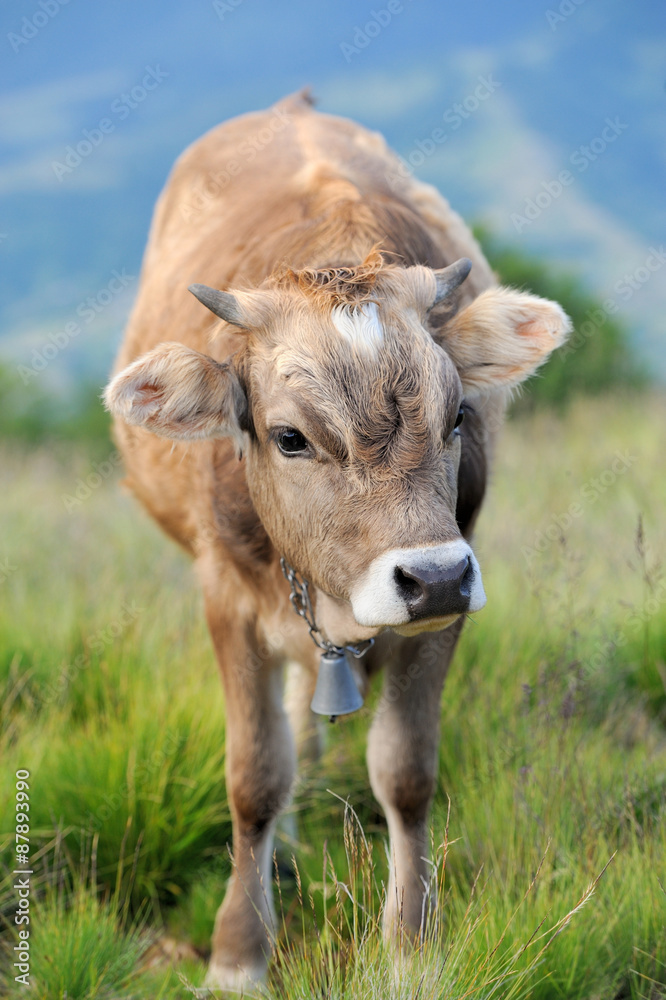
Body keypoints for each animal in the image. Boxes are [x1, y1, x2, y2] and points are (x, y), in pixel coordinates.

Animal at [105, 90, 572, 988]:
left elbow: (406, 773)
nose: (431, 575)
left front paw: (412, 949)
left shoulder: (445, 607)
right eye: (289, 438)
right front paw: (238, 956)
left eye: (458, 417)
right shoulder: (224, 597)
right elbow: (254, 775)